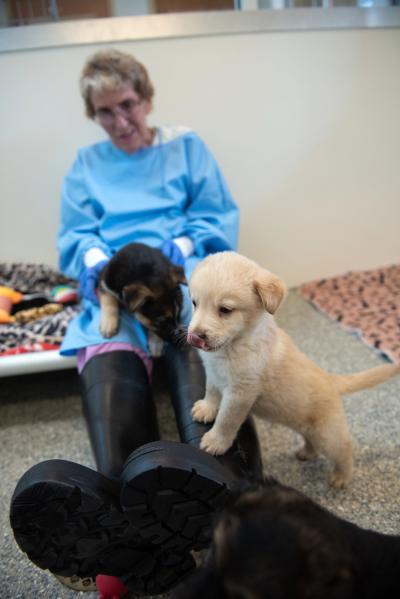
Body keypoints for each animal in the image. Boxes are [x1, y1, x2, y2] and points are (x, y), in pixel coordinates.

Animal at [188, 251, 400, 490]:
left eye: (225, 310)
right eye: (194, 303)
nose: (195, 336)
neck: (236, 344)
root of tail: (331, 379)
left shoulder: (240, 394)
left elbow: (226, 420)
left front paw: (216, 441)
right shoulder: (214, 374)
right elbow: (212, 393)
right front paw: (206, 409)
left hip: (328, 434)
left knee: (345, 448)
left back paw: (342, 477)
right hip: (305, 426)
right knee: (312, 442)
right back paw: (307, 453)